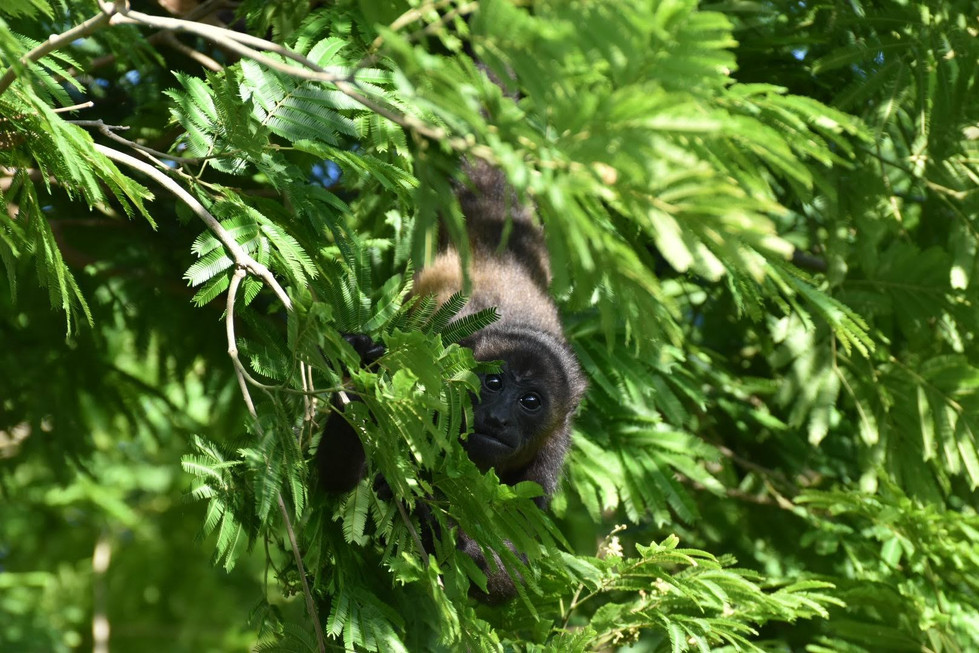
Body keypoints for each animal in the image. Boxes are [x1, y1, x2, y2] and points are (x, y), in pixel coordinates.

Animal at [317, 153, 586, 605]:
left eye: (530, 401)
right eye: (493, 384)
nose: (497, 418)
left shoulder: (552, 450)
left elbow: (514, 567)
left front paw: (435, 526)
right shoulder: (432, 385)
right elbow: (335, 478)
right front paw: (362, 375)